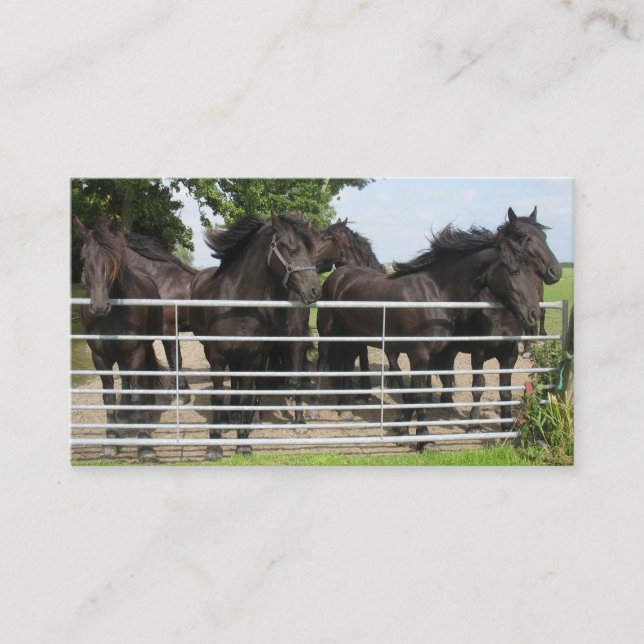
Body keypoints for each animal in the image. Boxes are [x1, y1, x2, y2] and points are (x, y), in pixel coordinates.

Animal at [73, 217, 167, 463]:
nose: (99, 307)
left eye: (112, 260)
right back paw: (124, 415)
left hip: (142, 348)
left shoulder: (135, 352)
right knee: (124, 379)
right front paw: (111, 440)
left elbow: (138, 393)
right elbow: (108, 397)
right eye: (83, 259)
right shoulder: (100, 358)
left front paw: (145, 445)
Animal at [189, 212, 321, 460]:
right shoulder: (218, 358)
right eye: (292, 249)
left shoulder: (258, 355)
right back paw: (228, 419)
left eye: (313, 252)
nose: (315, 290)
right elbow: (217, 396)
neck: (237, 304)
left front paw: (244, 443)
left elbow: (251, 392)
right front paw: (214, 447)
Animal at [316, 218, 545, 448]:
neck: (434, 293)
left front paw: (405, 430)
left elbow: (420, 392)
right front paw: (424, 438)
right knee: (325, 362)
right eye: (514, 271)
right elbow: (418, 393)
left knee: (345, 364)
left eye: (530, 270)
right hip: (328, 332)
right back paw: (322, 407)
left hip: (350, 337)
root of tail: (337, 275)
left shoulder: (426, 355)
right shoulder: (418, 354)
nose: (533, 312)